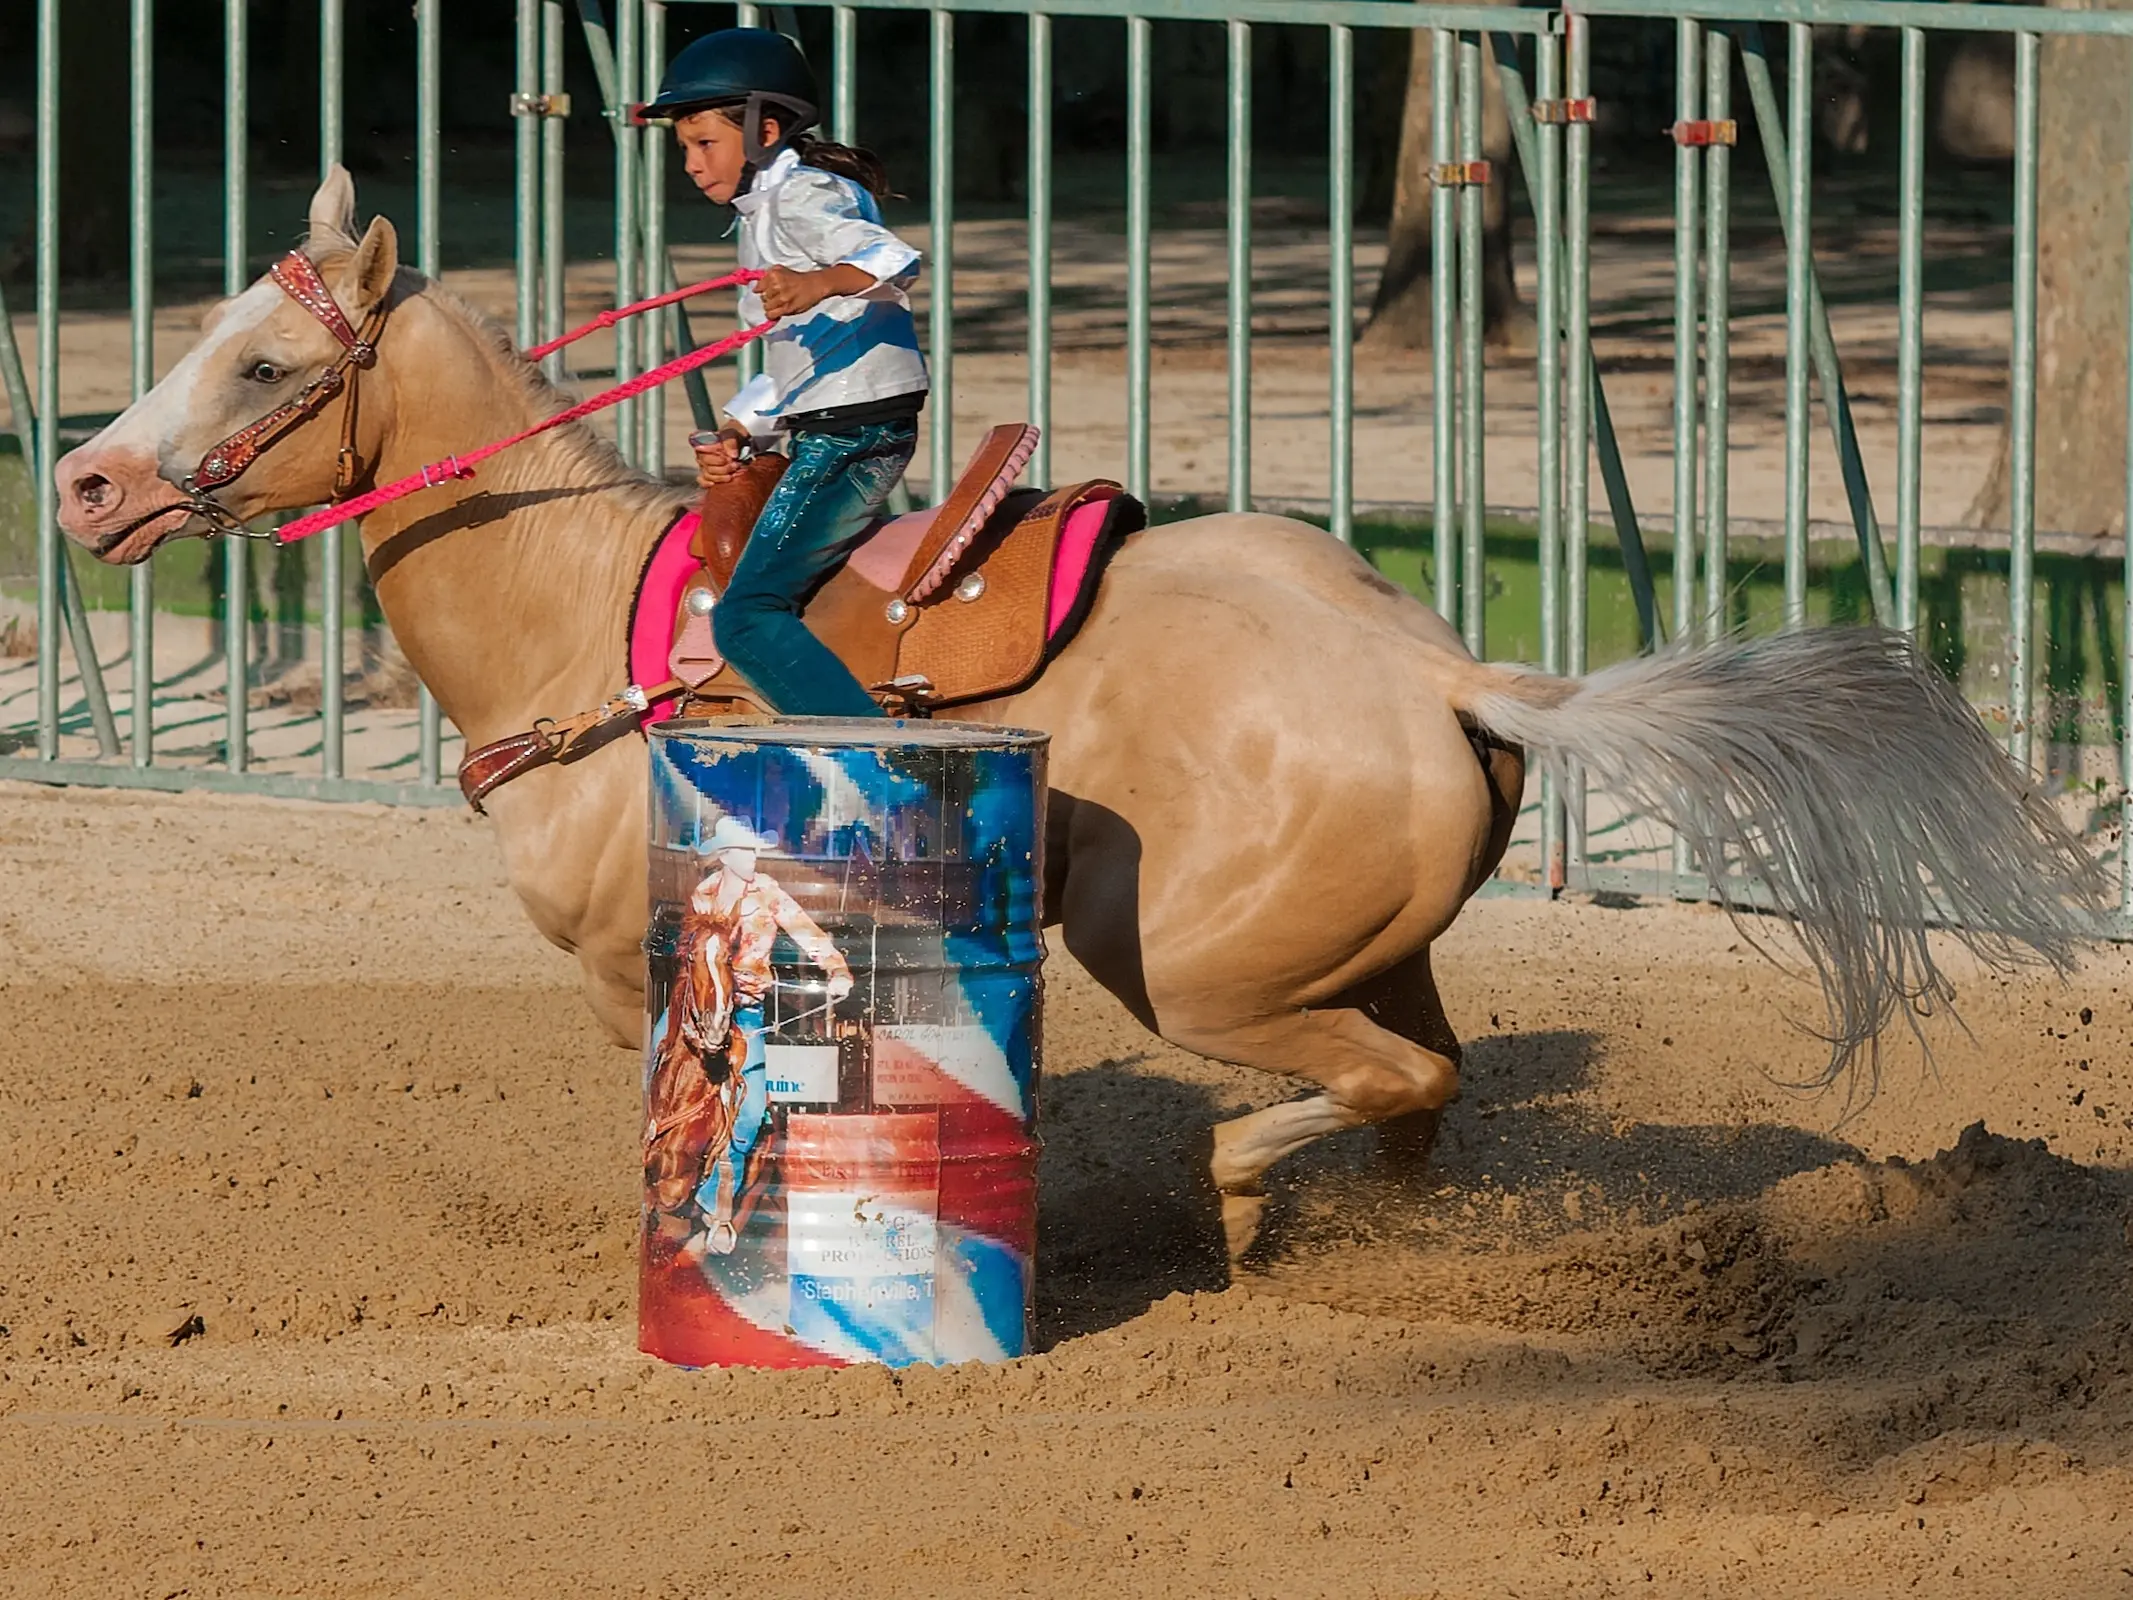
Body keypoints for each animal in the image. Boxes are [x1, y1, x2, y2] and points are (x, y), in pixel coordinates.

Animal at [58, 172, 2107, 1262]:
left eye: (260, 360)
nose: (80, 484)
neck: (582, 623)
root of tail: (1434, 668)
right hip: (1367, 944)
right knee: (1428, 1095)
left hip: (1189, 962)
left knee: (1390, 1087)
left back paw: (1236, 1201)